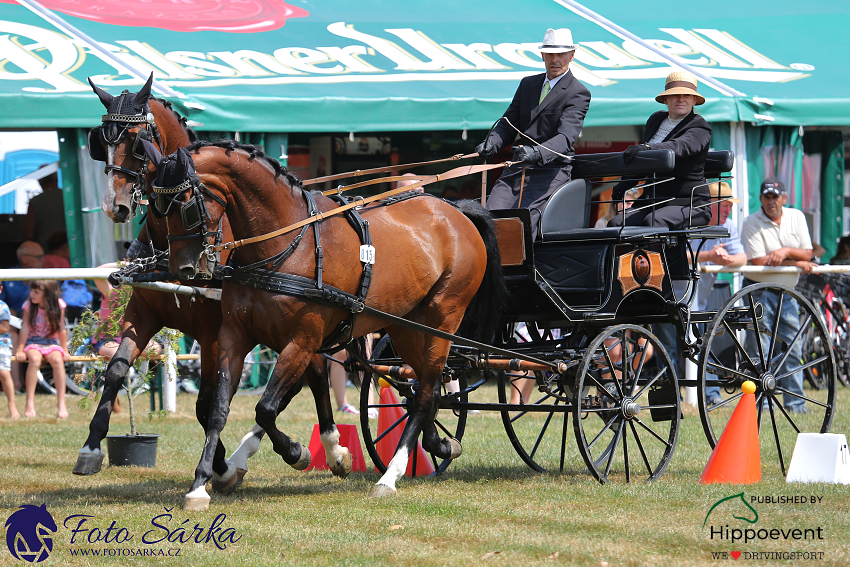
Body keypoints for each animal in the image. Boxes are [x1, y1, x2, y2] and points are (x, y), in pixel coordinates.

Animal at [76, 75, 348, 496]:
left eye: (136, 142)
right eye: (99, 141)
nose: (113, 206)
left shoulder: (213, 335)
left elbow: (207, 405)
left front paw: (218, 468)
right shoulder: (143, 313)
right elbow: (117, 369)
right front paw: (91, 447)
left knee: (313, 376)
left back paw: (324, 450)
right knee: (305, 377)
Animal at [141, 140, 504, 508]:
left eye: (185, 206)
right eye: (155, 207)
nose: (183, 269)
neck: (284, 244)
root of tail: (455, 210)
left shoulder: (302, 341)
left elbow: (266, 407)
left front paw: (297, 452)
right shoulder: (235, 336)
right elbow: (218, 409)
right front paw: (202, 483)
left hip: (442, 319)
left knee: (428, 388)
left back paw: (391, 475)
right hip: (406, 326)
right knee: (423, 388)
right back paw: (438, 443)